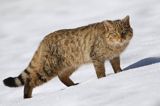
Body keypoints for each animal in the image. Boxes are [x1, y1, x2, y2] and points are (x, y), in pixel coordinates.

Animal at [2, 15, 132, 98]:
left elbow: (117, 67)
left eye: (124, 31)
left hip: (70, 65)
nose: (121, 38)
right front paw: (103, 80)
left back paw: (73, 85)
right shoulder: (97, 58)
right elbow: (100, 72)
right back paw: (27, 97)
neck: (115, 46)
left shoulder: (114, 57)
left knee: (61, 76)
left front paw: (120, 73)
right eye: (114, 33)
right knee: (30, 81)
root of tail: (44, 40)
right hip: (48, 68)